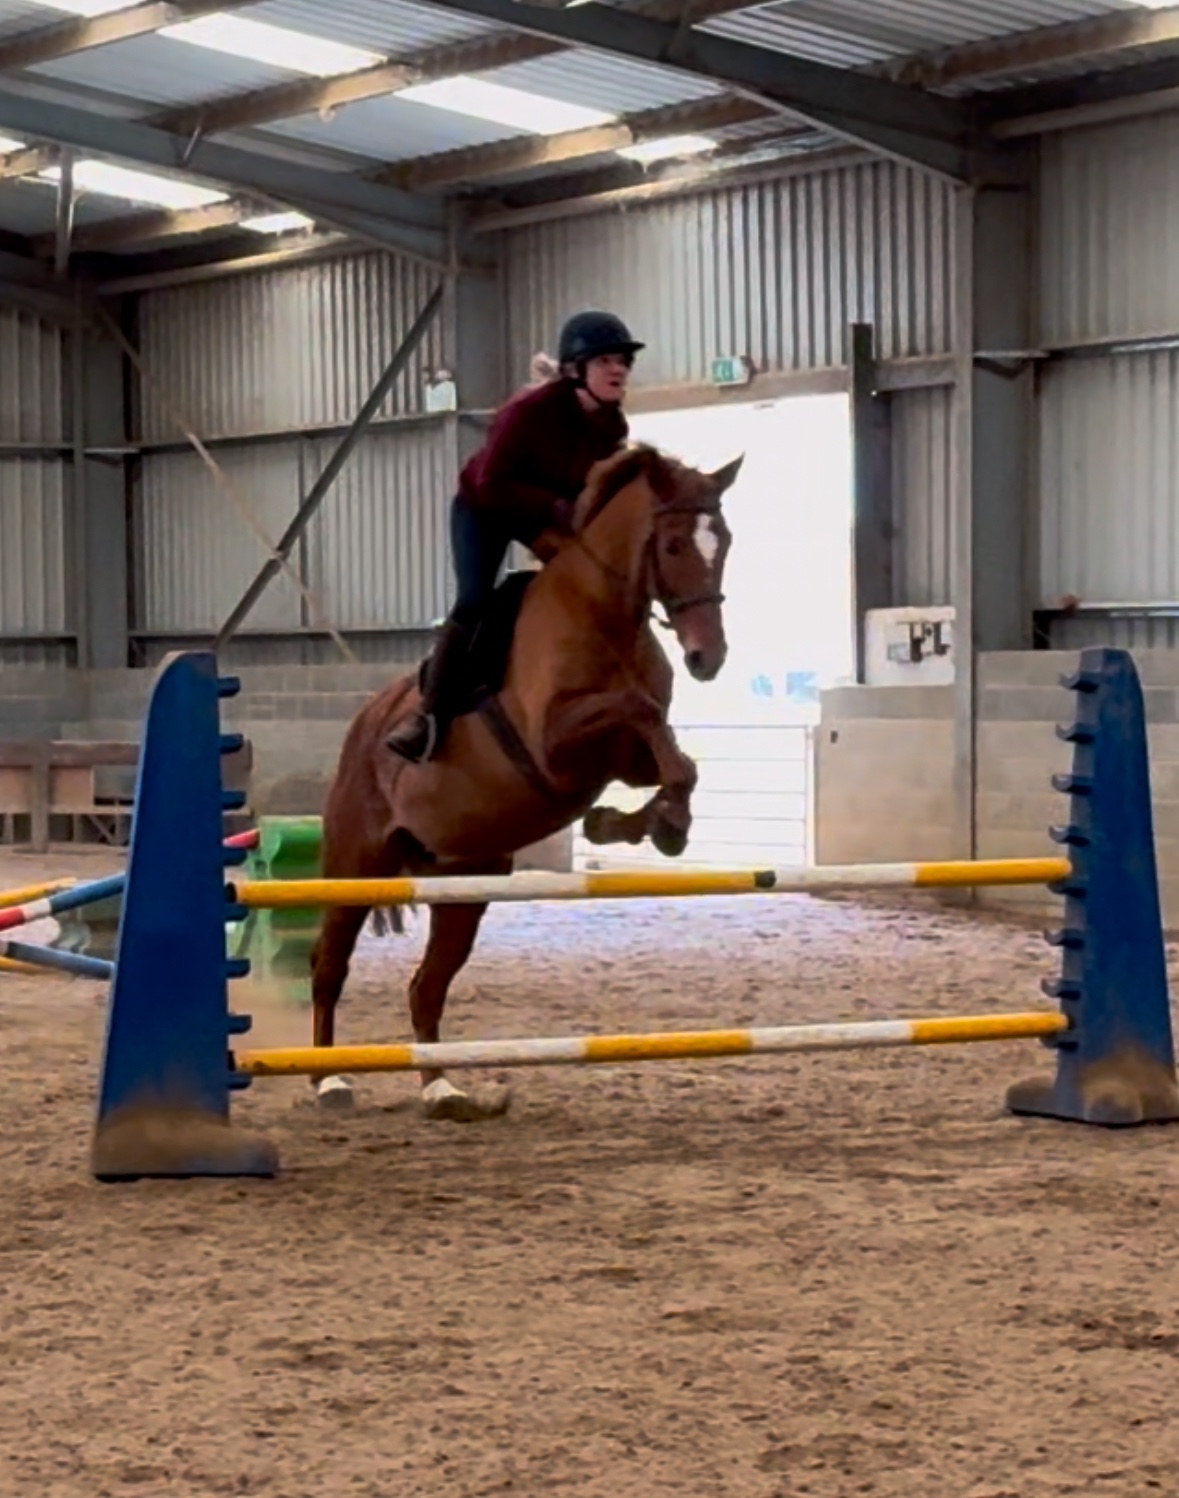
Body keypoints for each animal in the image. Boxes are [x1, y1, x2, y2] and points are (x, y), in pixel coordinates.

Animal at [309, 442, 743, 1119]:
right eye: (673, 545)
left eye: (722, 542)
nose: (708, 658)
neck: (602, 614)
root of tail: (366, 722)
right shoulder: (555, 747)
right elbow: (639, 711)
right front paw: (657, 822)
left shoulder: (622, 760)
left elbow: (675, 759)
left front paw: (642, 824)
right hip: (355, 864)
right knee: (329, 964)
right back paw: (330, 1081)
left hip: (464, 879)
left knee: (426, 986)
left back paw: (442, 1089)